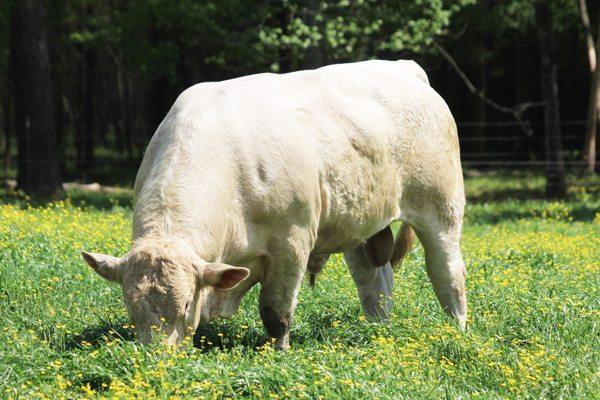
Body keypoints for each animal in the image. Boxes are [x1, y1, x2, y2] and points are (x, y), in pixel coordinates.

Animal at [83, 60, 468, 350]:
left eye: (186, 304)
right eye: (130, 307)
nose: (157, 360)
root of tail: (404, 67)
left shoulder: (291, 242)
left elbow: (275, 310)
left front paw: (278, 352)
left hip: (441, 209)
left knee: (447, 274)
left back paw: (458, 330)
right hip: (359, 225)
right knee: (374, 284)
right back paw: (378, 332)